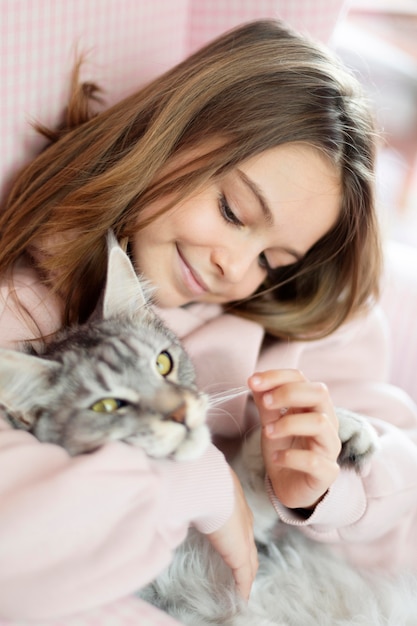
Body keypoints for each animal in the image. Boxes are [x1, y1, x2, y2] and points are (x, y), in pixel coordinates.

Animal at [1, 233, 414, 624]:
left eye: (163, 363)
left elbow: (253, 474)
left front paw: (322, 432)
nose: (180, 412)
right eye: (108, 406)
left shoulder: (247, 544)